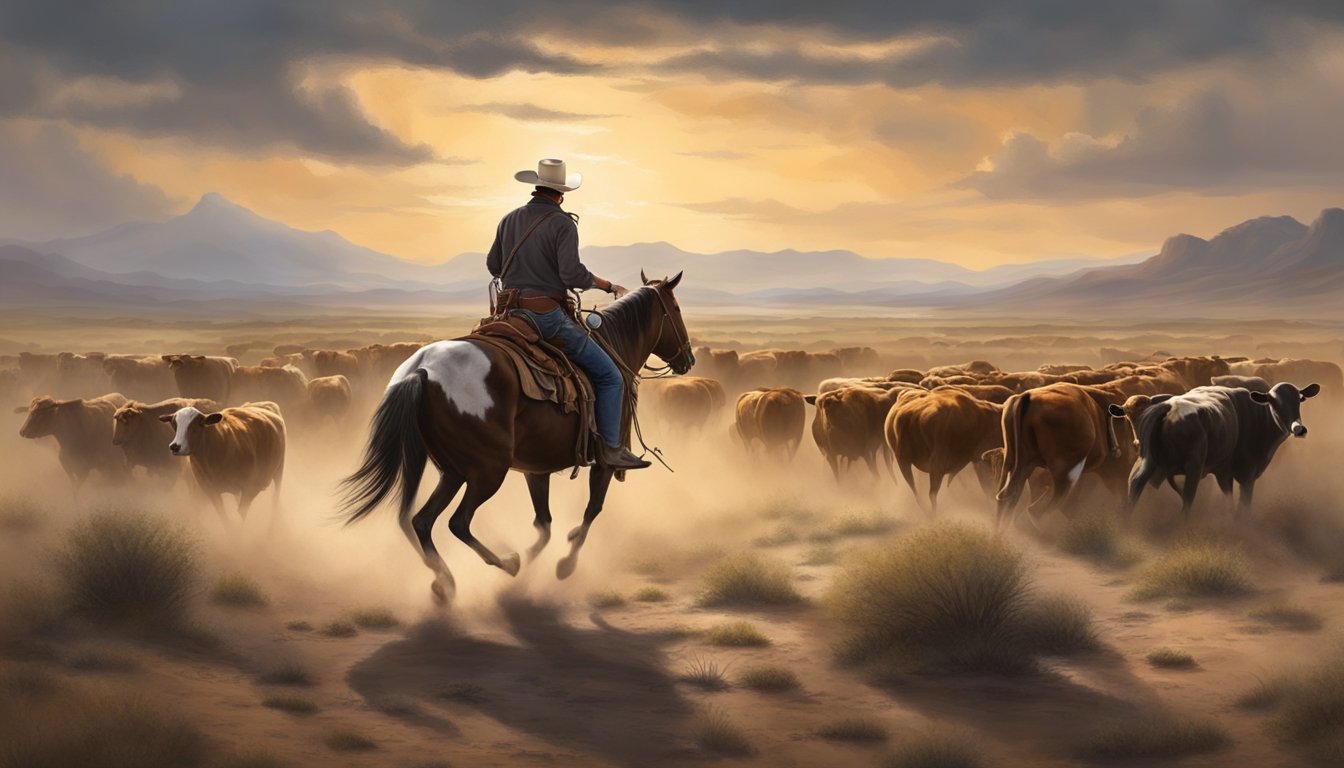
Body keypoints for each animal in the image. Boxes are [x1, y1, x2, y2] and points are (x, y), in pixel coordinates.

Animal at [338, 273, 693, 605]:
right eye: (676, 309)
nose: (688, 359)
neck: (613, 346)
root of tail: (421, 370)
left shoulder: (537, 468)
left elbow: (544, 524)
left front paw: (533, 567)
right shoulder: (605, 460)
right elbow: (592, 510)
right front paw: (564, 564)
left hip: (449, 470)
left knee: (420, 521)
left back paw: (446, 583)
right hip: (488, 470)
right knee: (457, 522)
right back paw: (506, 563)